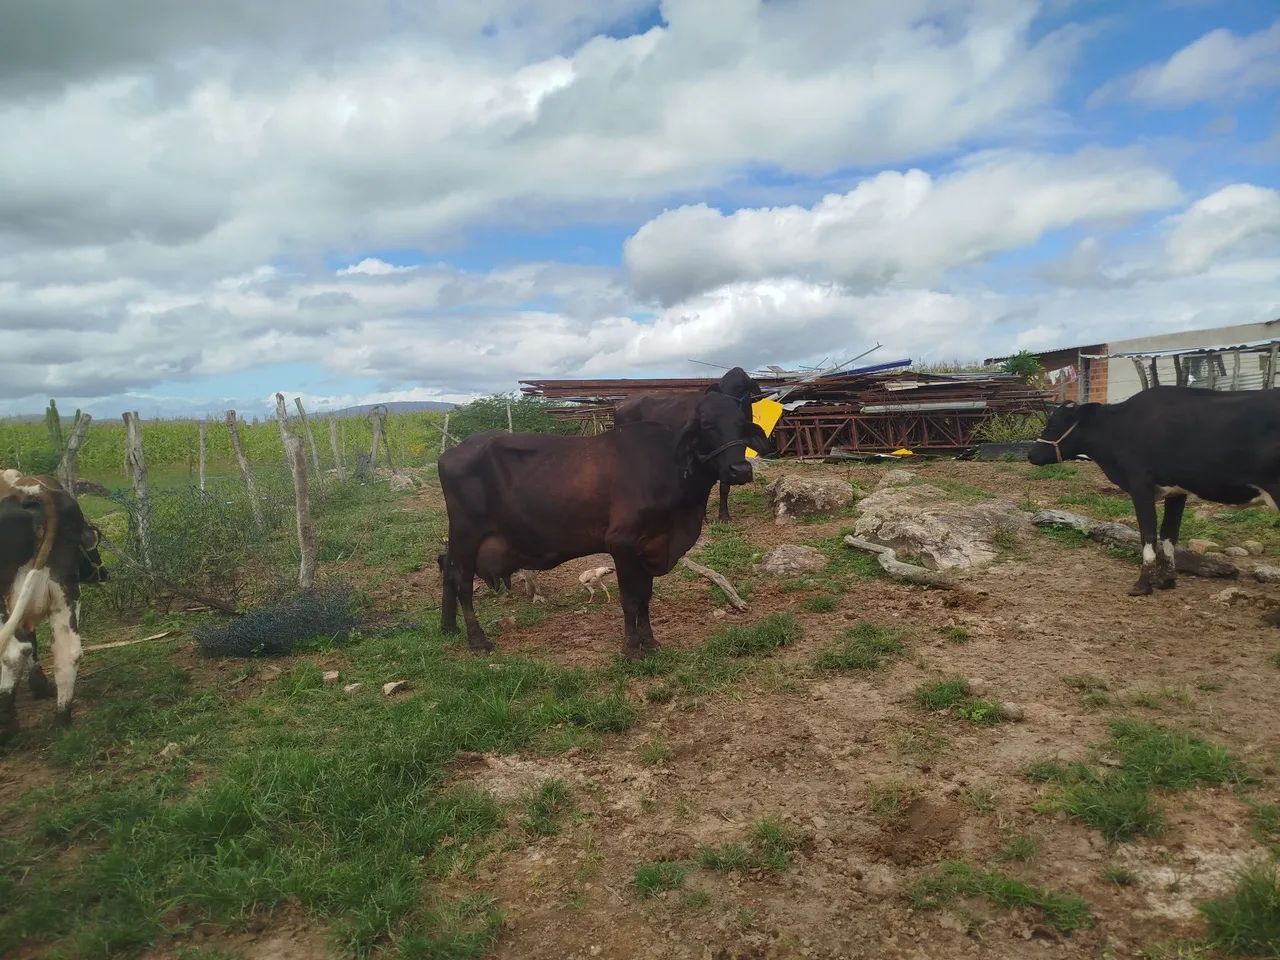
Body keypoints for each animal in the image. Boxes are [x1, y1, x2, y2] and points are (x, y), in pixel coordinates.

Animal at [0, 471, 107, 734]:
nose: (103, 572)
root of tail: (36, 493)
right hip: (64, 591)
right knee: (68, 651)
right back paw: (61, 718)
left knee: (14, 651)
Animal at [437, 390, 770, 657]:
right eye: (707, 425)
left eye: (741, 425)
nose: (740, 470)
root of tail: (451, 452)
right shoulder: (621, 543)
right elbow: (630, 600)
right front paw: (631, 648)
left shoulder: (649, 546)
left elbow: (645, 597)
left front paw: (650, 642)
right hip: (467, 534)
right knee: (462, 582)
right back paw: (478, 641)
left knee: (448, 572)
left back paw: (448, 627)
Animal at [1028, 387, 1280, 596]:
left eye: (1052, 424)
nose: (1030, 454)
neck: (1119, 429)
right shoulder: (1177, 491)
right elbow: (1169, 533)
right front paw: (1166, 580)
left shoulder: (1140, 485)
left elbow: (1148, 534)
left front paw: (1143, 584)